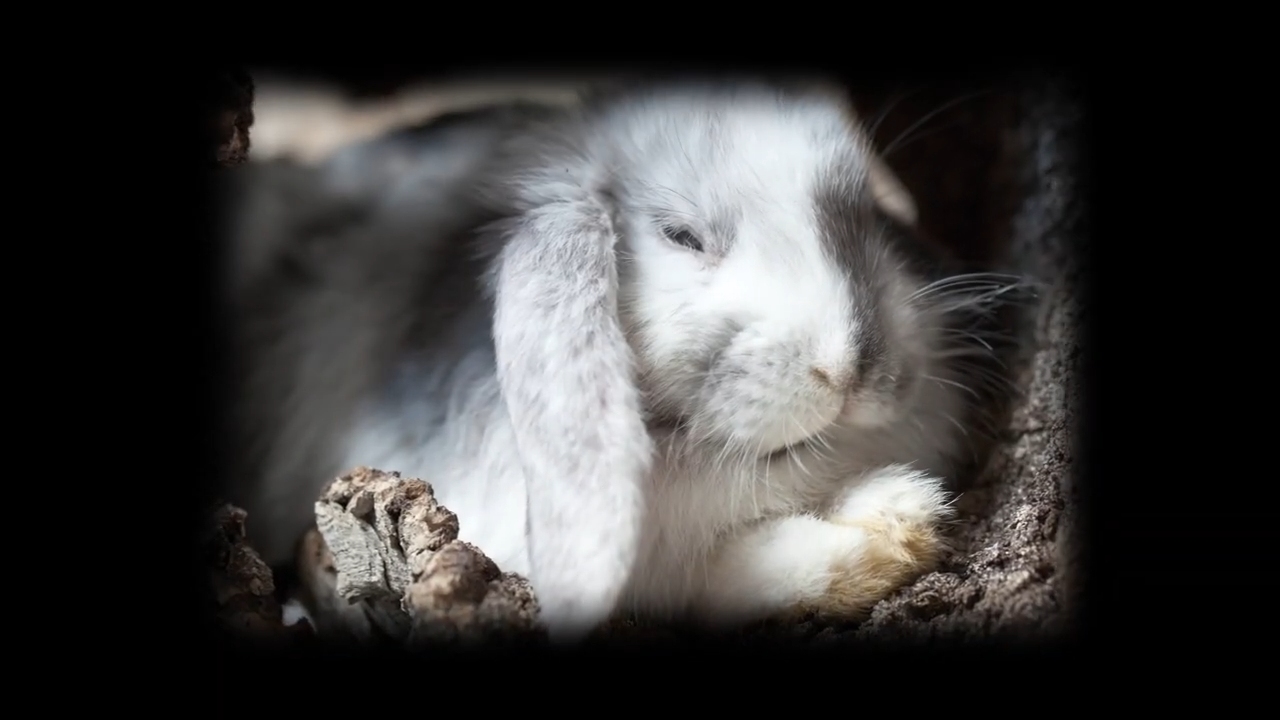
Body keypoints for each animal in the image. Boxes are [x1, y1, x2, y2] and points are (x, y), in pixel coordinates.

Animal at [220, 77, 1024, 642]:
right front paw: (896, 521)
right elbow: (716, 577)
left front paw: (902, 516)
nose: (850, 366)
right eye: (681, 236)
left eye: (870, 220)